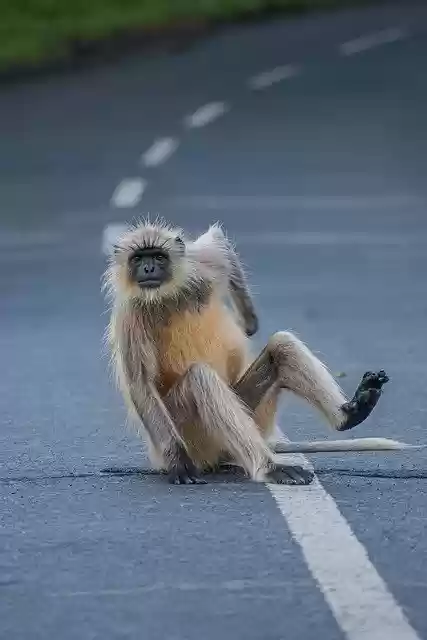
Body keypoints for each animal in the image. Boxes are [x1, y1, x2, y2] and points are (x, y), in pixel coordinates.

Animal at [102, 217, 419, 487]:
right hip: (193, 435)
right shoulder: (131, 314)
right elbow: (140, 384)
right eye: (138, 259)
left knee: (282, 345)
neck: (167, 297)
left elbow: (218, 242)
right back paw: (269, 467)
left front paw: (250, 323)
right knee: (200, 379)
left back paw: (351, 413)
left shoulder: (198, 265)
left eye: (157, 257)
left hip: (254, 413)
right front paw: (178, 463)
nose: (148, 269)